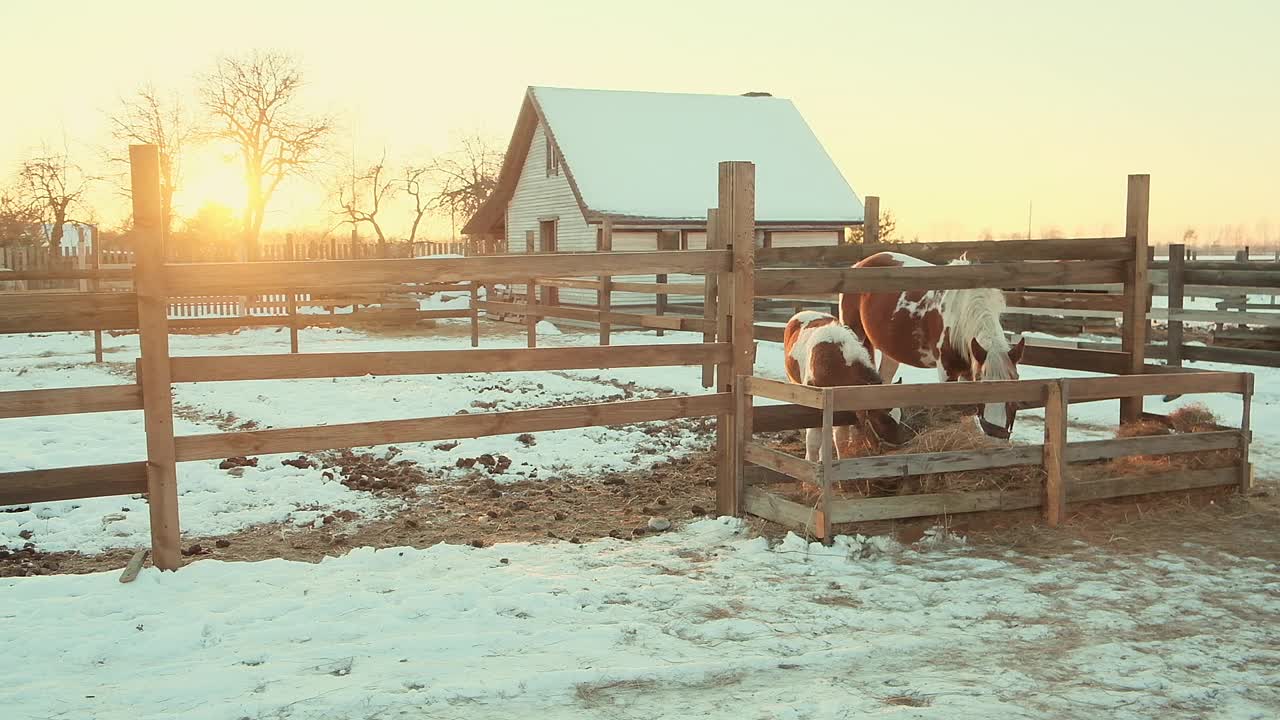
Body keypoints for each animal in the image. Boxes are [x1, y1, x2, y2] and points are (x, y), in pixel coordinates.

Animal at [839, 252, 1029, 440]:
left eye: (1016, 382)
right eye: (982, 383)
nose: (995, 435)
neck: (962, 314)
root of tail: (860, 264)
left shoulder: (968, 369)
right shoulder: (947, 371)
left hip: (890, 352)